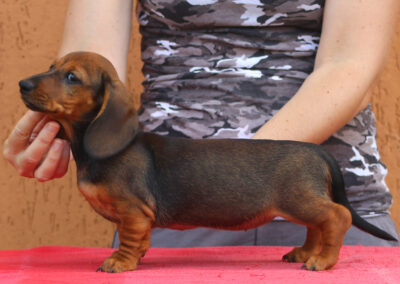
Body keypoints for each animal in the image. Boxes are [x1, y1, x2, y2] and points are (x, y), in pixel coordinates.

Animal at [18, 51, 396, 272]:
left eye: (72, 77)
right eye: (51, 67)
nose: (22, 83)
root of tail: (317, 150)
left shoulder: (133, 211)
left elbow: (129, 239)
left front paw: (120, 263)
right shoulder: (139, 217)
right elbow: (141, 241)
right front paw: (137, 257)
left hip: (299, 199)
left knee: (337, 216)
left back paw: (323, 261)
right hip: (302, 203)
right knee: (317, 226)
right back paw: (305, 253)